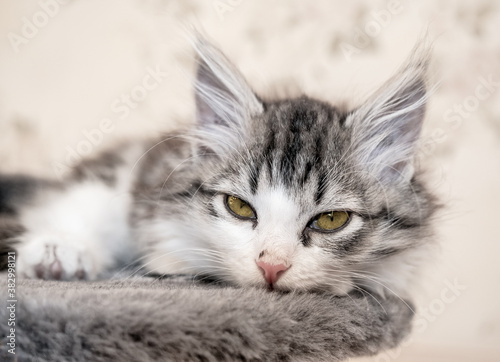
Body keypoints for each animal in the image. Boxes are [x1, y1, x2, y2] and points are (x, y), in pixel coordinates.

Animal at [0, 36, 438, 296]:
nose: (272, 266)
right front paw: (59, 251)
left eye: (331, 220)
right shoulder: (140, 174)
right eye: (239, 207)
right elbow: (89, 206)